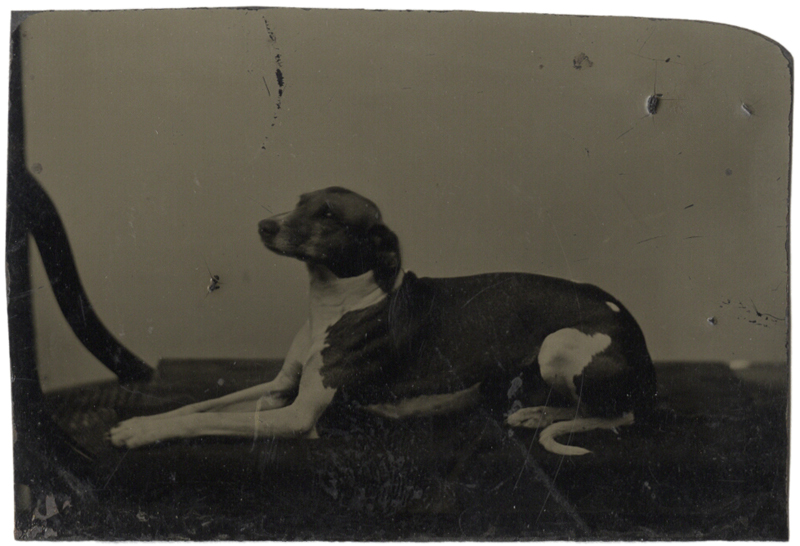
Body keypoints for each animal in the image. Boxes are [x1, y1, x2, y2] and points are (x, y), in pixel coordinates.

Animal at [111, 185, 656, 452]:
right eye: (300, 201)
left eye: (329, 215)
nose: (264, 225)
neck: (338, 304)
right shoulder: (280, 386)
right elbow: (197, 407)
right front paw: (139, 421)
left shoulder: (297, 416)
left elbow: (210, 421)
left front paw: (138, 434)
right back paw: (536, 411)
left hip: (558, 346)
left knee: (617, 414)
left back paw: (545, 416)